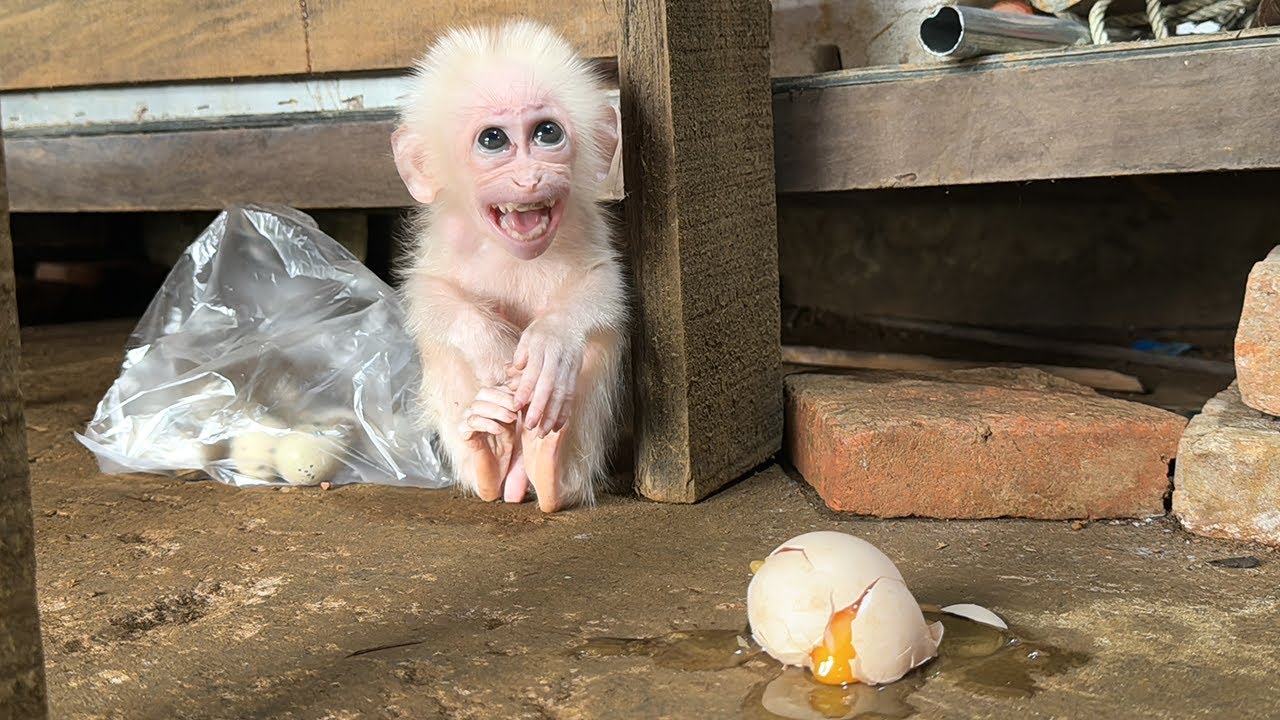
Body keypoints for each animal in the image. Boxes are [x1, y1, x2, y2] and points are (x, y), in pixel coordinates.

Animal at [391, 20, 627, 513]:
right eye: (493, 139)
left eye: (546, 133)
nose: (530, 178)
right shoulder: (446, 236)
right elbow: (428, 293)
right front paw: (490, 346)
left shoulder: (583, 222)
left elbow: (604, 283)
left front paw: (552, 342)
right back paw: (489, 455)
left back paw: (548, 462)